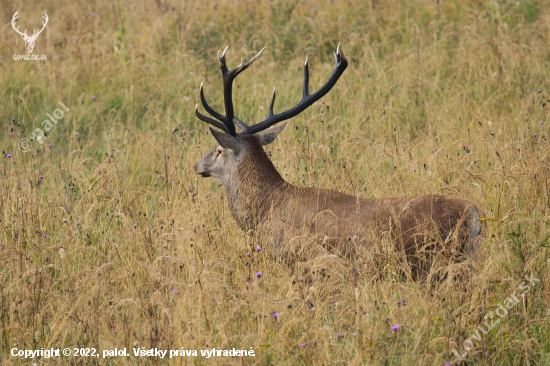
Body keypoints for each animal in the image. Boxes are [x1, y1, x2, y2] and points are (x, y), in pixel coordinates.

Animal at [194, 44, 484, 276]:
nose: (197, 165)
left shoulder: (298, 256)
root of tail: (473, 213)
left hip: (435, 258)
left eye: (218, 150)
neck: (267, 209)